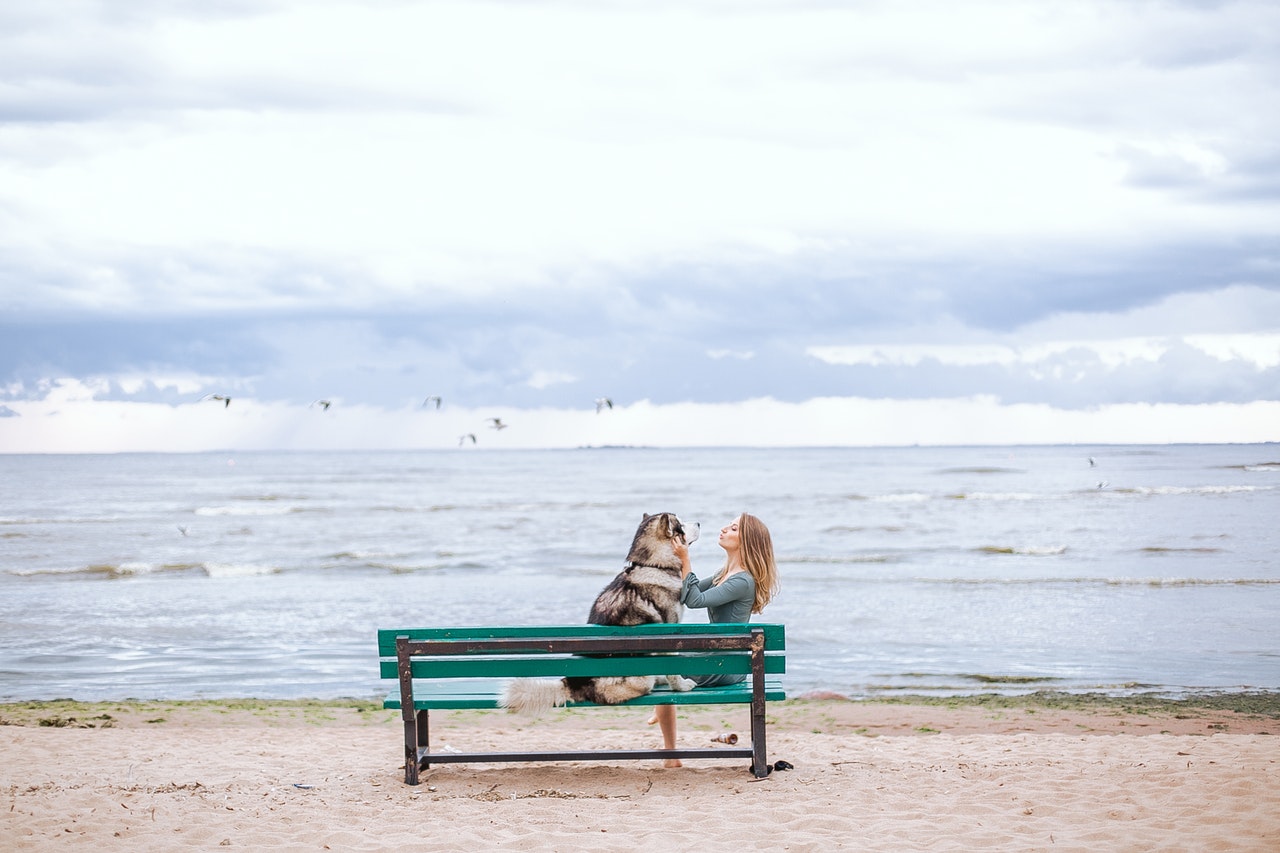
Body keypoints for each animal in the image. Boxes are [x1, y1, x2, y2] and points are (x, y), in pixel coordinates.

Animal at [499, 512, 701, 712]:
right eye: (681, 524)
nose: (699, 523)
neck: (654, 565)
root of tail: (574, 685)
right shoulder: (670, 630)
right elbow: (672, 670)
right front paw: (682, 686)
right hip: (641, 680)